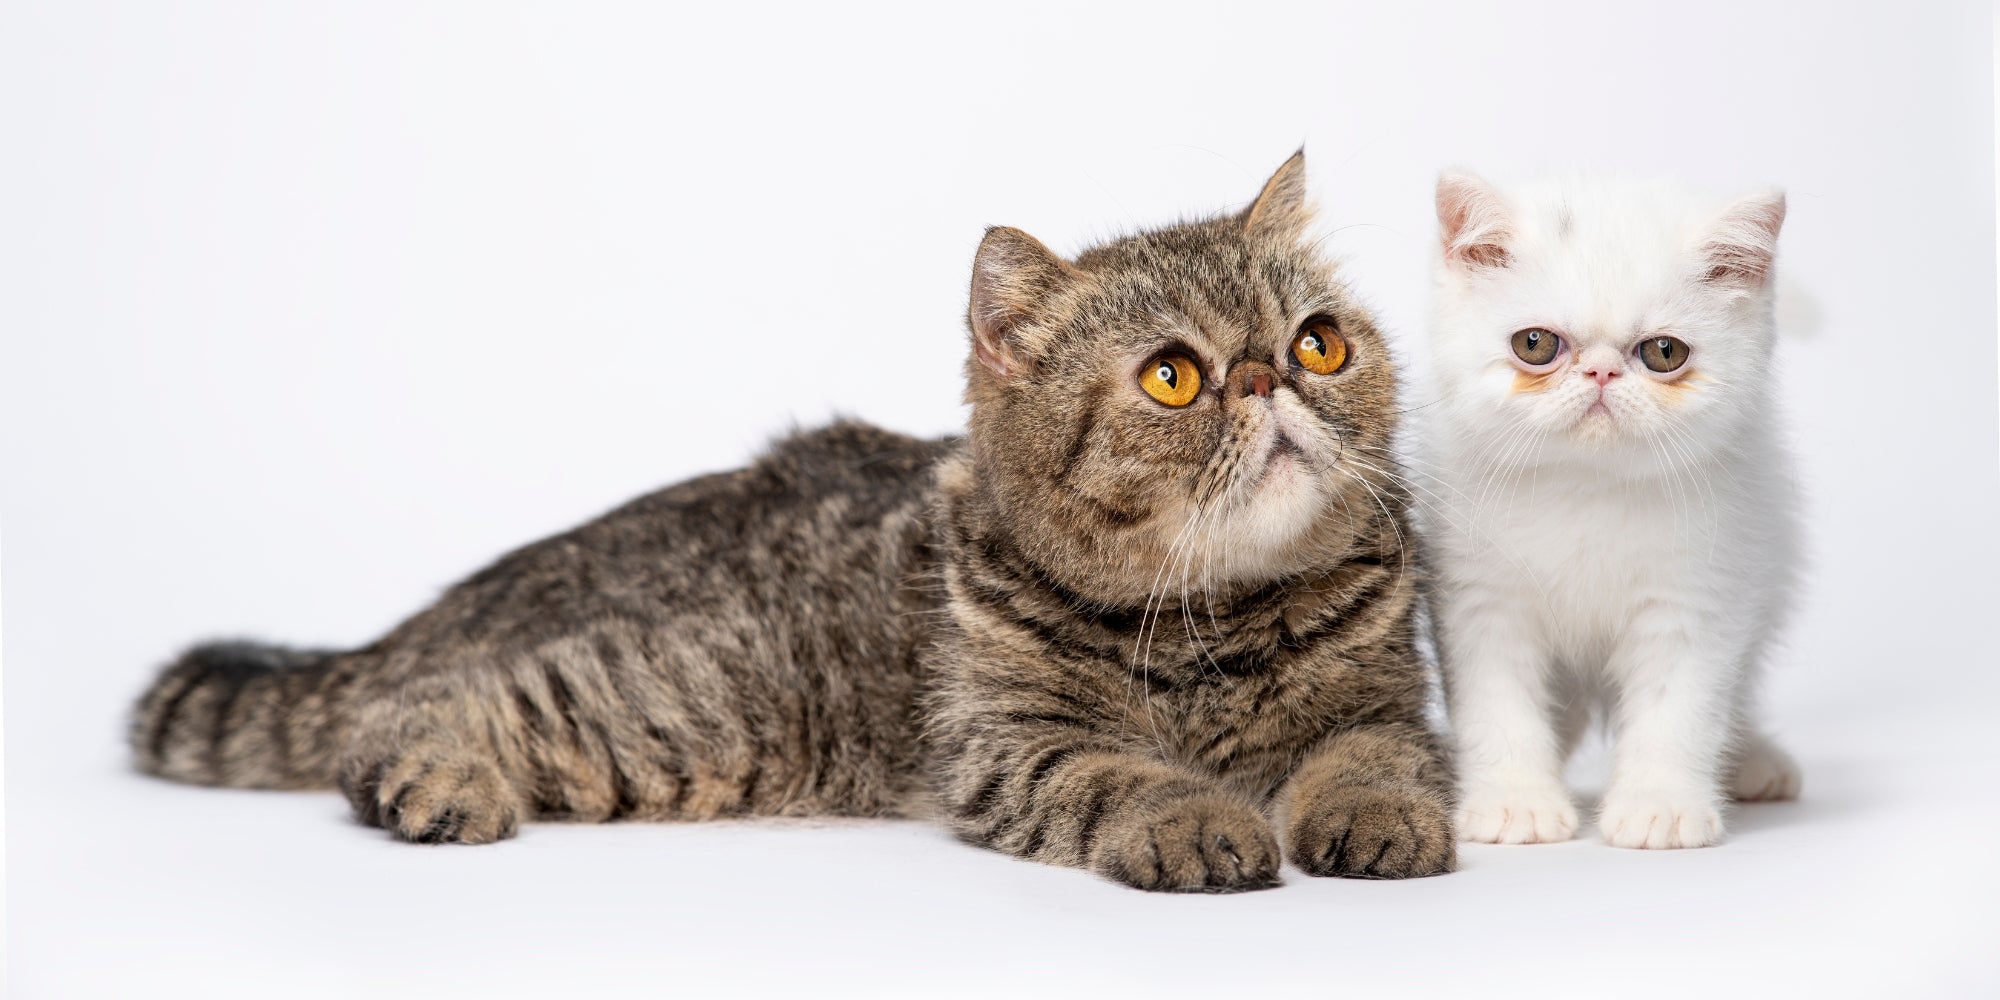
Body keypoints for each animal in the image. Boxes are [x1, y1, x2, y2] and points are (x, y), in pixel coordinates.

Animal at [137, 156, 1456, 892]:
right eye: (1173, 377)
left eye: (1317, 344)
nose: (1268, 381)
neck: (1211, 617)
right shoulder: (1006, 741)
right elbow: (1115, 770)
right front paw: (1190, 815)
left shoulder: (1389, 698)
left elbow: (1373, 755)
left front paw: (1373, 816)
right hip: (677, 707)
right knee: (416, 702)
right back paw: (438, 779)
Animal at [1416, 176, 1808, 848]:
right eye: (1535, 344)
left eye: (1665, 352)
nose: (1600, 371)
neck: (1587, 485)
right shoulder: (1480, 598)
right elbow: (1499, 702)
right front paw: (1514, 801)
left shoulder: (1700, 593)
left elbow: (1678, 708)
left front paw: (1661, 805)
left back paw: (1754, 761)